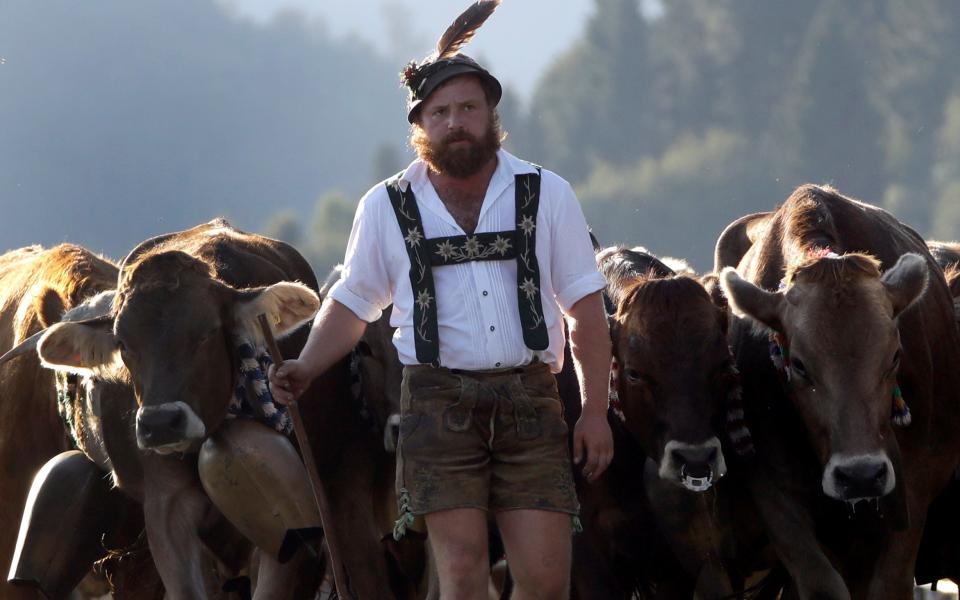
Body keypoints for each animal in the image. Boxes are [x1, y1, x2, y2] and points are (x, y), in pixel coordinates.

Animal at [720, 185, 960, 596]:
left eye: (895, 356)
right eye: (799, 364)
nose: (860, 475)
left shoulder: (914, 483)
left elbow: (889, 583)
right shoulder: (773, 489)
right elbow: (819, 582)